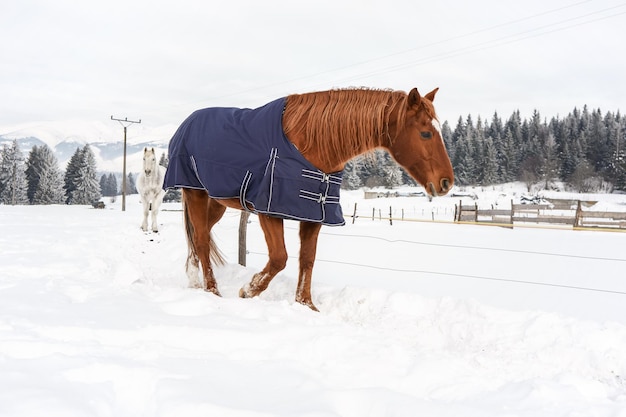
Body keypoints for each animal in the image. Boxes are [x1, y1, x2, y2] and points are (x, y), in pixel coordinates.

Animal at [163, 87, 450, 308]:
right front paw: (249, 289)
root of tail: (187, 124)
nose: (446, 182)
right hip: (195, 193)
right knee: (201, 239)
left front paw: (306, 305)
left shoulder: (314, 214)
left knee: (198, 236)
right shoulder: (270, 211)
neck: (311, 146)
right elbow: (279, 258)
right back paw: (211, 289)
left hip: (217, 201)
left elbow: (307, 260)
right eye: (425, 133)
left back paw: (194, 280)